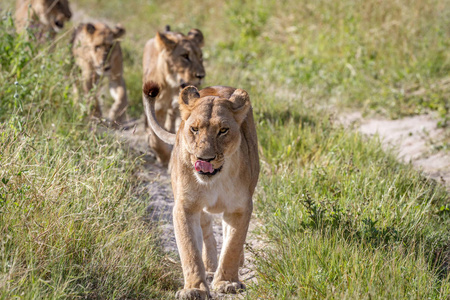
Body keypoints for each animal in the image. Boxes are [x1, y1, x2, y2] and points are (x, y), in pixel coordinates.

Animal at [142, 26, 206, 165]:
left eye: (200, 56)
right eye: (185, 56)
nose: (201, 76)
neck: (172, 84)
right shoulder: (157, 106)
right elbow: (155, 137)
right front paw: (164, 157)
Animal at [142, 81, 262, 298]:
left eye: (223, 130)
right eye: (194, 129)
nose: (204, 159)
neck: (215, 180)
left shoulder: (240, 208)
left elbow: (232, 245)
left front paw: (227, 282)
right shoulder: (185, 207)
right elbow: (189, 249)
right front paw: (194, 288)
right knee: (207, 234)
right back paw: (209, 267)